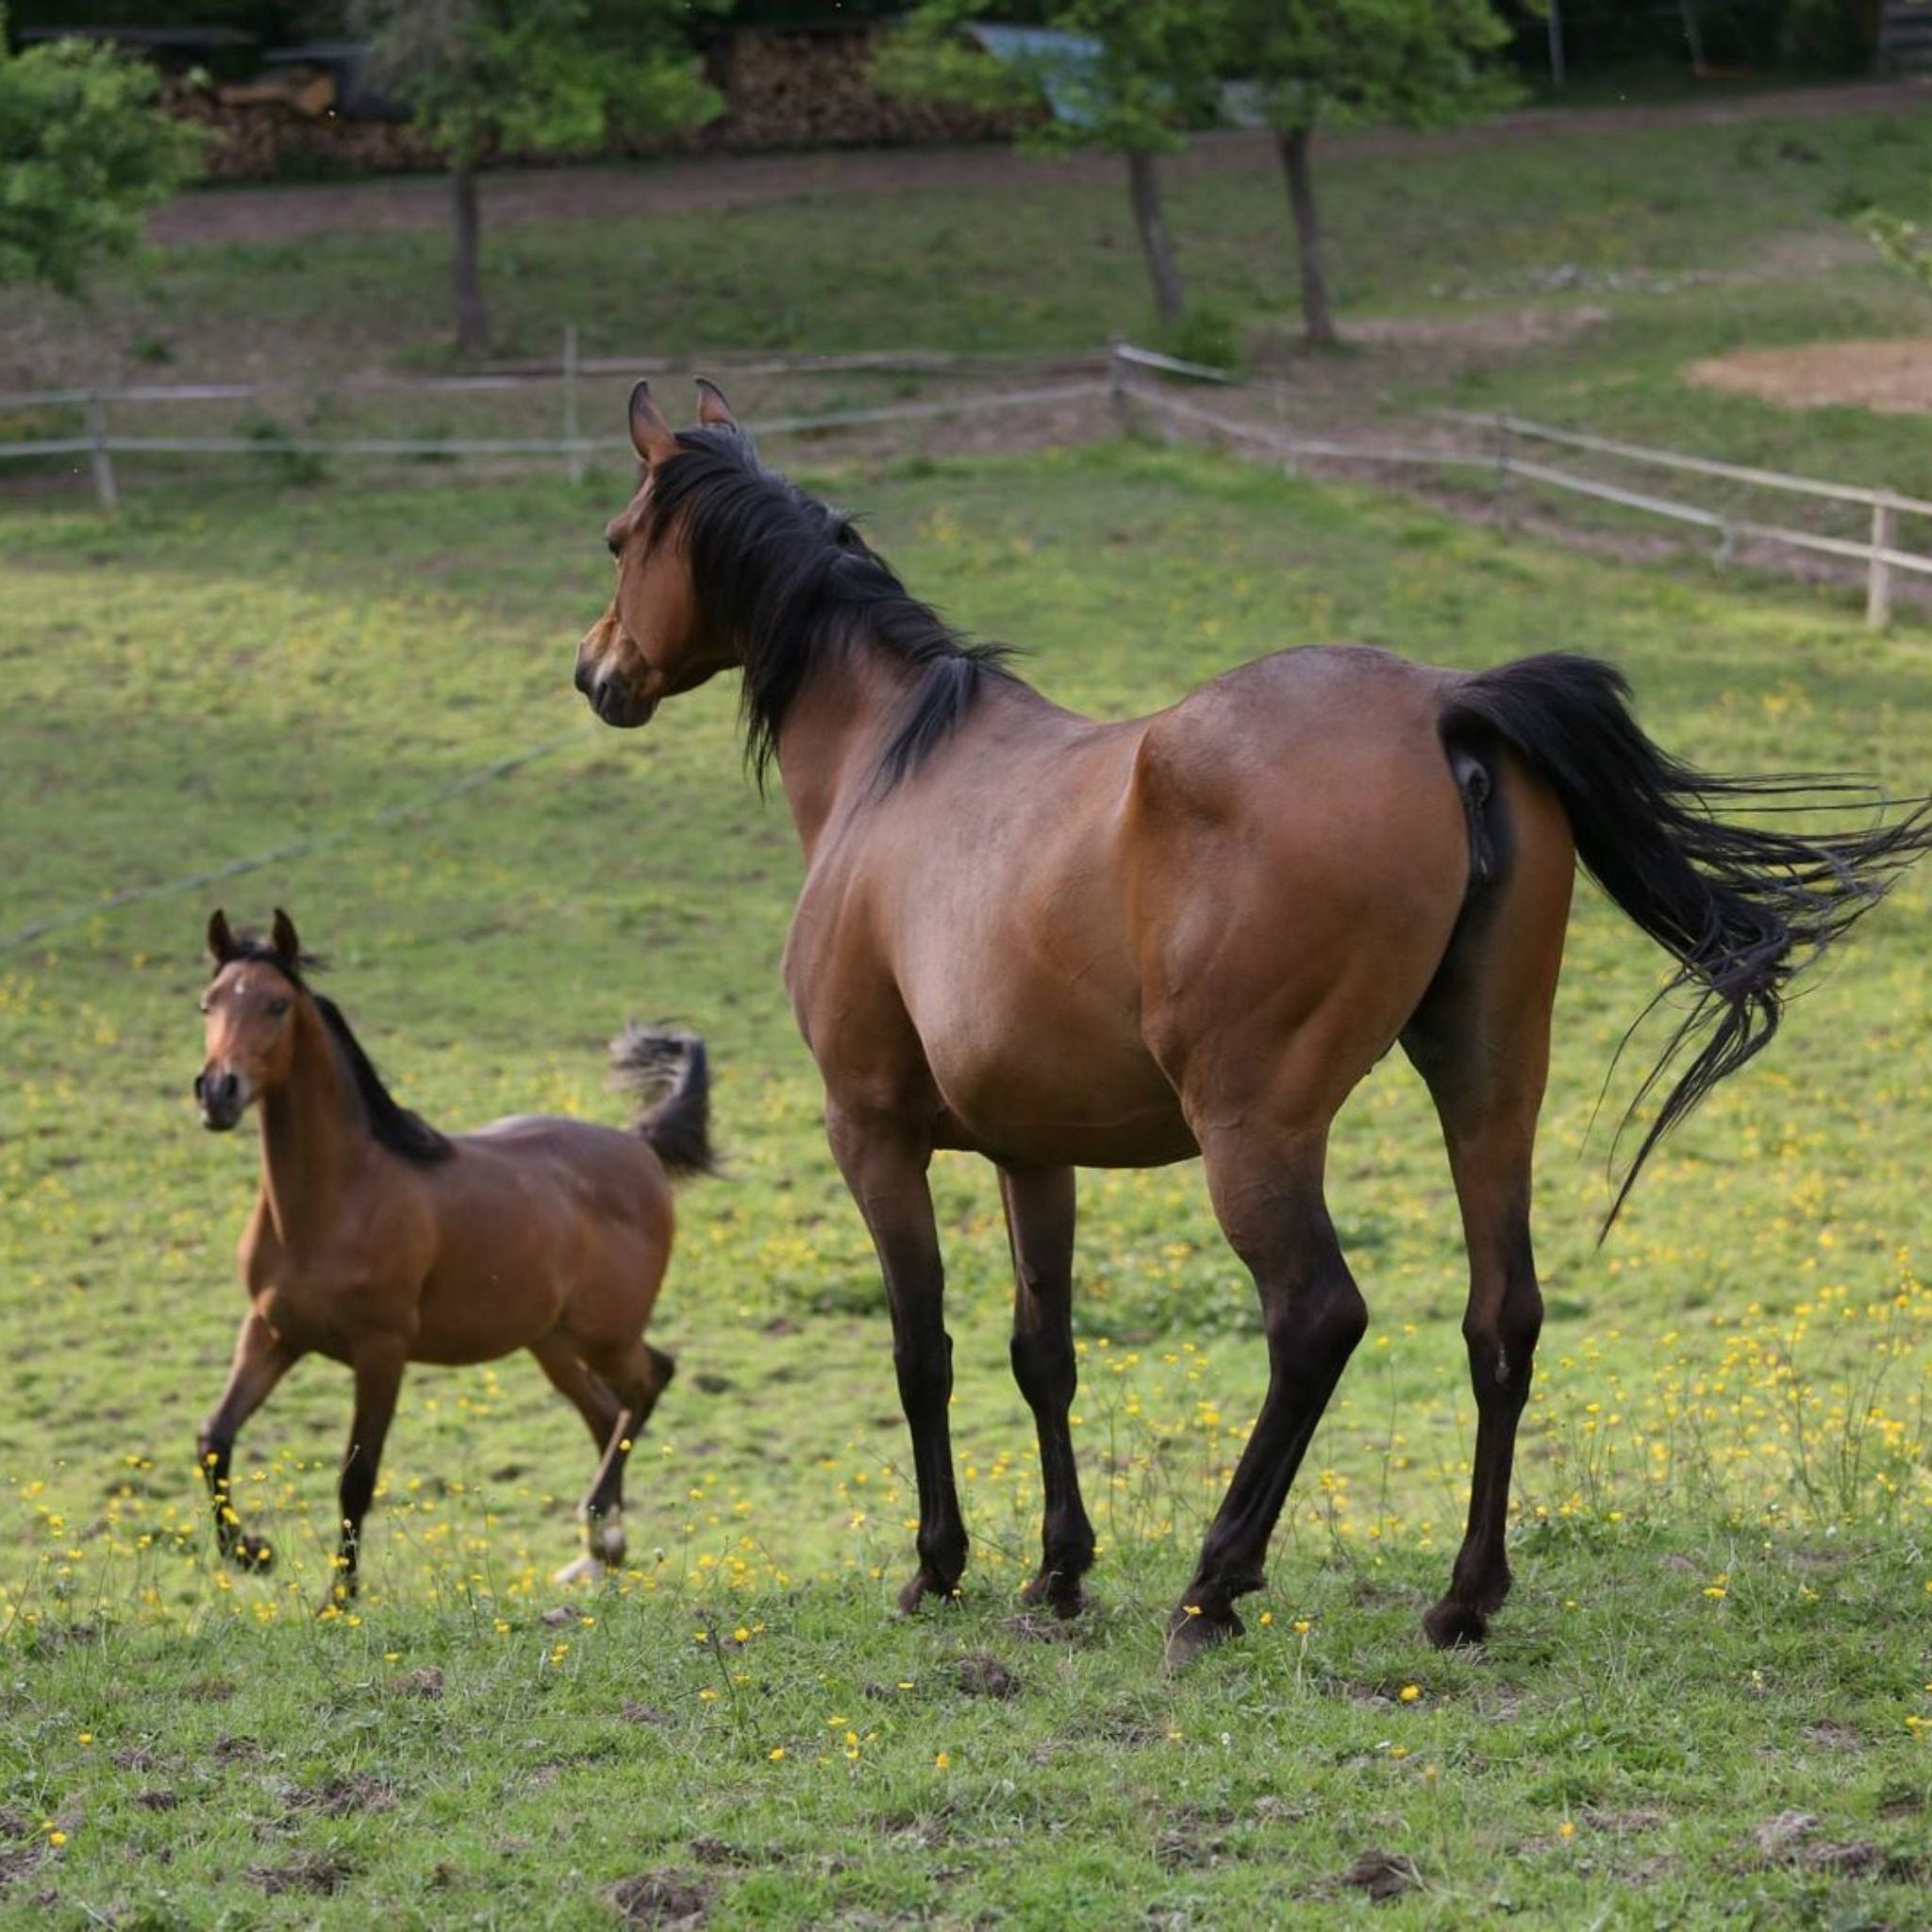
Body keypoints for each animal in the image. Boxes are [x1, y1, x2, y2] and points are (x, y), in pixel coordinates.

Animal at [193, 911, 718, 1607]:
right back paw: (599, 1552)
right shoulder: (273, 1331)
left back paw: (600, 1531)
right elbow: (214, 1438)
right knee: (609, 1413)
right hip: (551, 1342)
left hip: (604, 1333)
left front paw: (339, 1601)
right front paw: (252, 1552)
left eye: (277, 1005)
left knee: (650, 1380)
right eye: (208, 1003)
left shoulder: (381, 1350)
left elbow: (356, 1476)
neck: (336, 1199)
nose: (217, 1093)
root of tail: (640, 1148)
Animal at [564, 380, 1924, 1661]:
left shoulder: (874, 1134)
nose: (596, 672)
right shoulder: (1030, 1151)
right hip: (1486, 1088)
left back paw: (1214, 1587)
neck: (894, 766)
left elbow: (923, 1351)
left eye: (620, 536)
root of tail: (1442, 710)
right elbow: (1042, 1353)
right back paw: (1461, 1600)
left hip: (1255, 1133)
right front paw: (1057, 1573)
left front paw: (938, 1569)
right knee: (1503, 1315)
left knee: (1316, 1318)